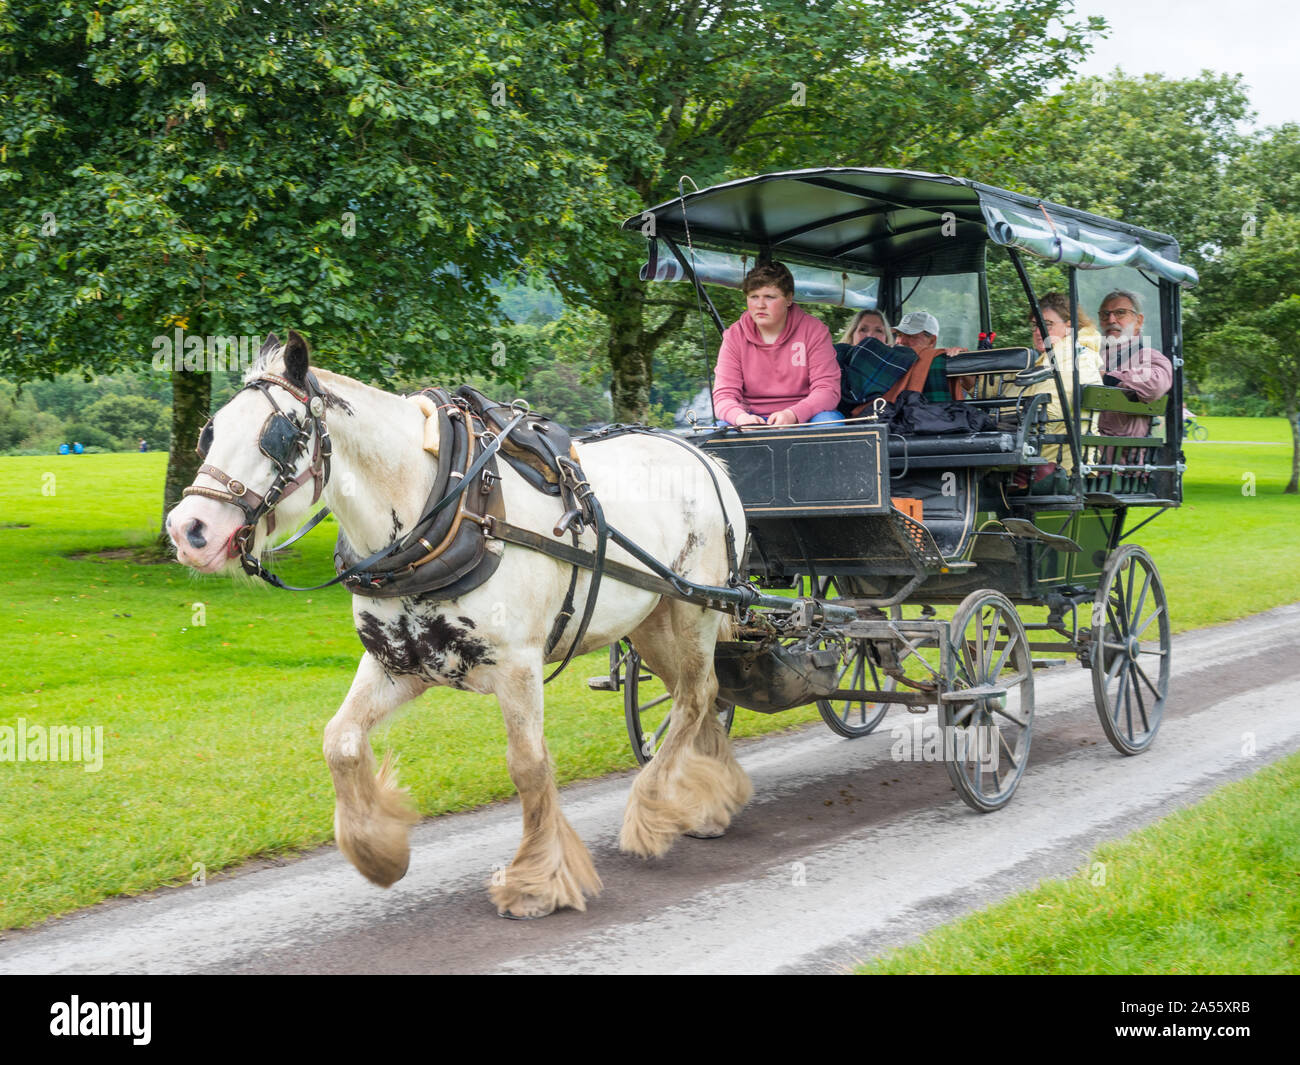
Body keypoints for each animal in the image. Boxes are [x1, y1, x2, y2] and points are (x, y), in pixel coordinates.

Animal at [166, 332, 754, 915]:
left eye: (279, 436)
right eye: (209, 433)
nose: (187, 529)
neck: (443, 506)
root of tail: (704, 457)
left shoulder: (518, 666)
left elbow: (529, 766)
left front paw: (535, 883)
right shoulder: (396, 663)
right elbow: (341, 741)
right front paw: (377, 853)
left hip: (694, 610)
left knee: (694, 698)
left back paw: (653, 810)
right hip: (653, 622)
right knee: (704, 693)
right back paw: (708, 800)